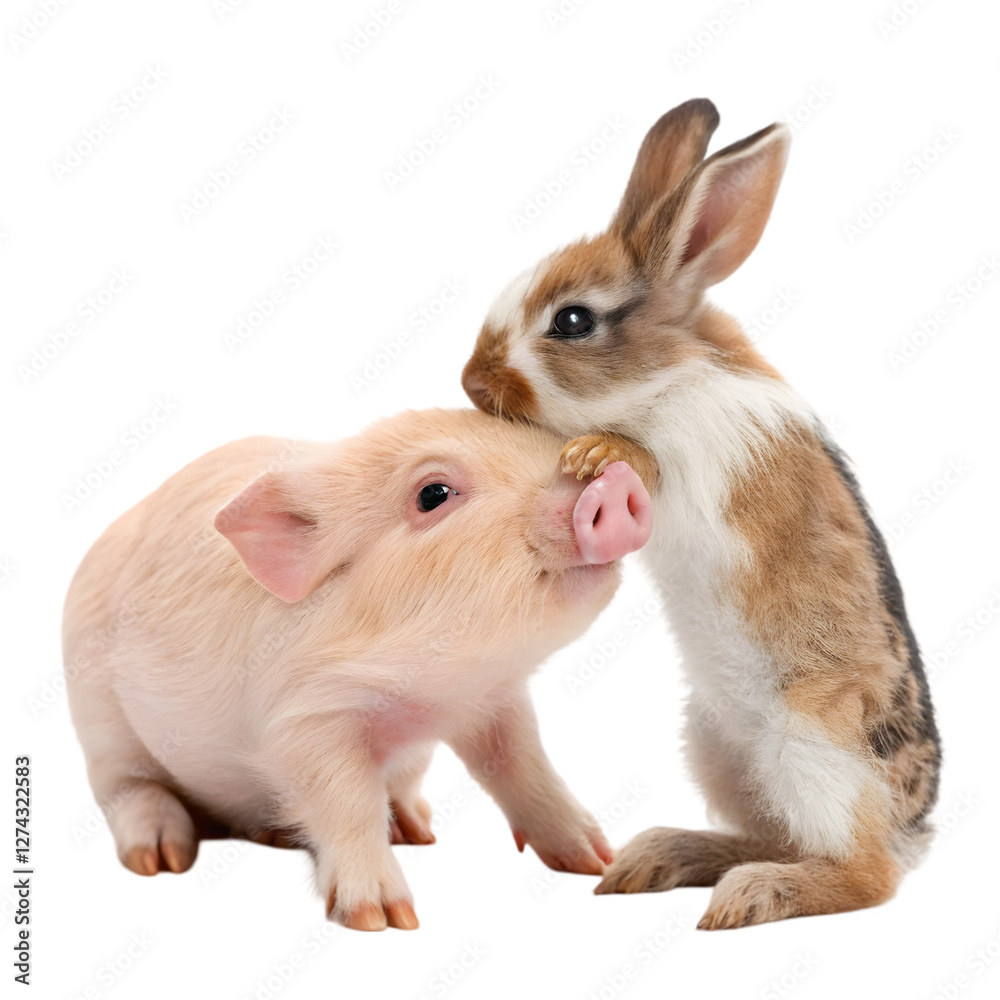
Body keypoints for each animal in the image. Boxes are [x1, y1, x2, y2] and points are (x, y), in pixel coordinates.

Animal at [63, 408, 652, 930]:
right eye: (433, 494)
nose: (611, 483)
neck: (428, 697)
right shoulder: (304, 719)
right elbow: (346, 803)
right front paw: (384, 919)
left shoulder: (497, 698)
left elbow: (525, 768)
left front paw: (600, 861)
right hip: (99, 725)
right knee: (127, 790)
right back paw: (160, 858)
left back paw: (414, 830)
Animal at [461, 98, 941, 929]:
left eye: (573, 321)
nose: (471, 382)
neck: (669, 375)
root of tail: (913, 827)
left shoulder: (704, 459)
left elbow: (650, 465)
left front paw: (594, 455)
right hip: (718, 749)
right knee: (773, 835)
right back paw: (657, 859)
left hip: (812, 748)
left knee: (864, 876)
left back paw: (747, 898)